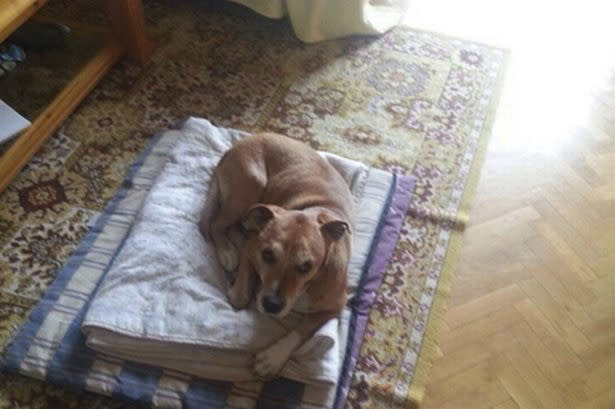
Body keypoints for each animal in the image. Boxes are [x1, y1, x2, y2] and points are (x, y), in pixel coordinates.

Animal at [202, 132, 354, 378]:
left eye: (306, 266)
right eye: (267, 254)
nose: (272, 304)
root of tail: (244, 140)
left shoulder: (334, 307)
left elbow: (302, 330)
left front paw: (274, 357)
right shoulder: (252, 248)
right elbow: (240, 297)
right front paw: (235, 284)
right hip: (251, 185)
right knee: (216, 223)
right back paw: (227, 251)